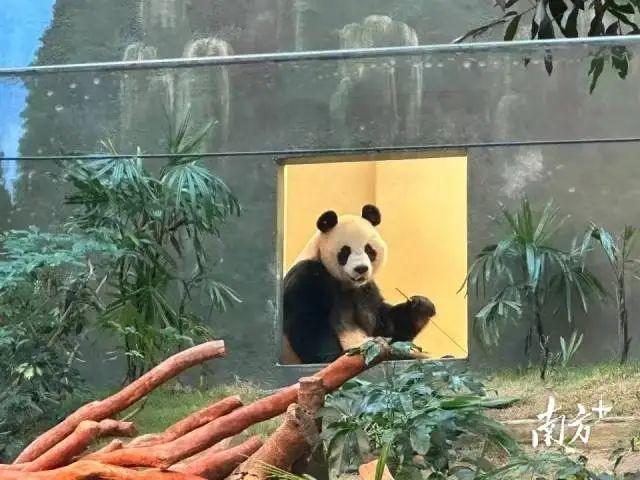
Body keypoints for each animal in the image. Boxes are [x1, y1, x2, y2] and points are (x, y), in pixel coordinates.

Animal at [281, 204, 436, 364]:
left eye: (369, 249)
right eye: (345, 252)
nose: (361, 268)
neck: (347, 284)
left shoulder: (366, 291)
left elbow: (387, 326)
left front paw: (421, 306)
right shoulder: (306, 278)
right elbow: (309, 322)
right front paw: (334, 357)